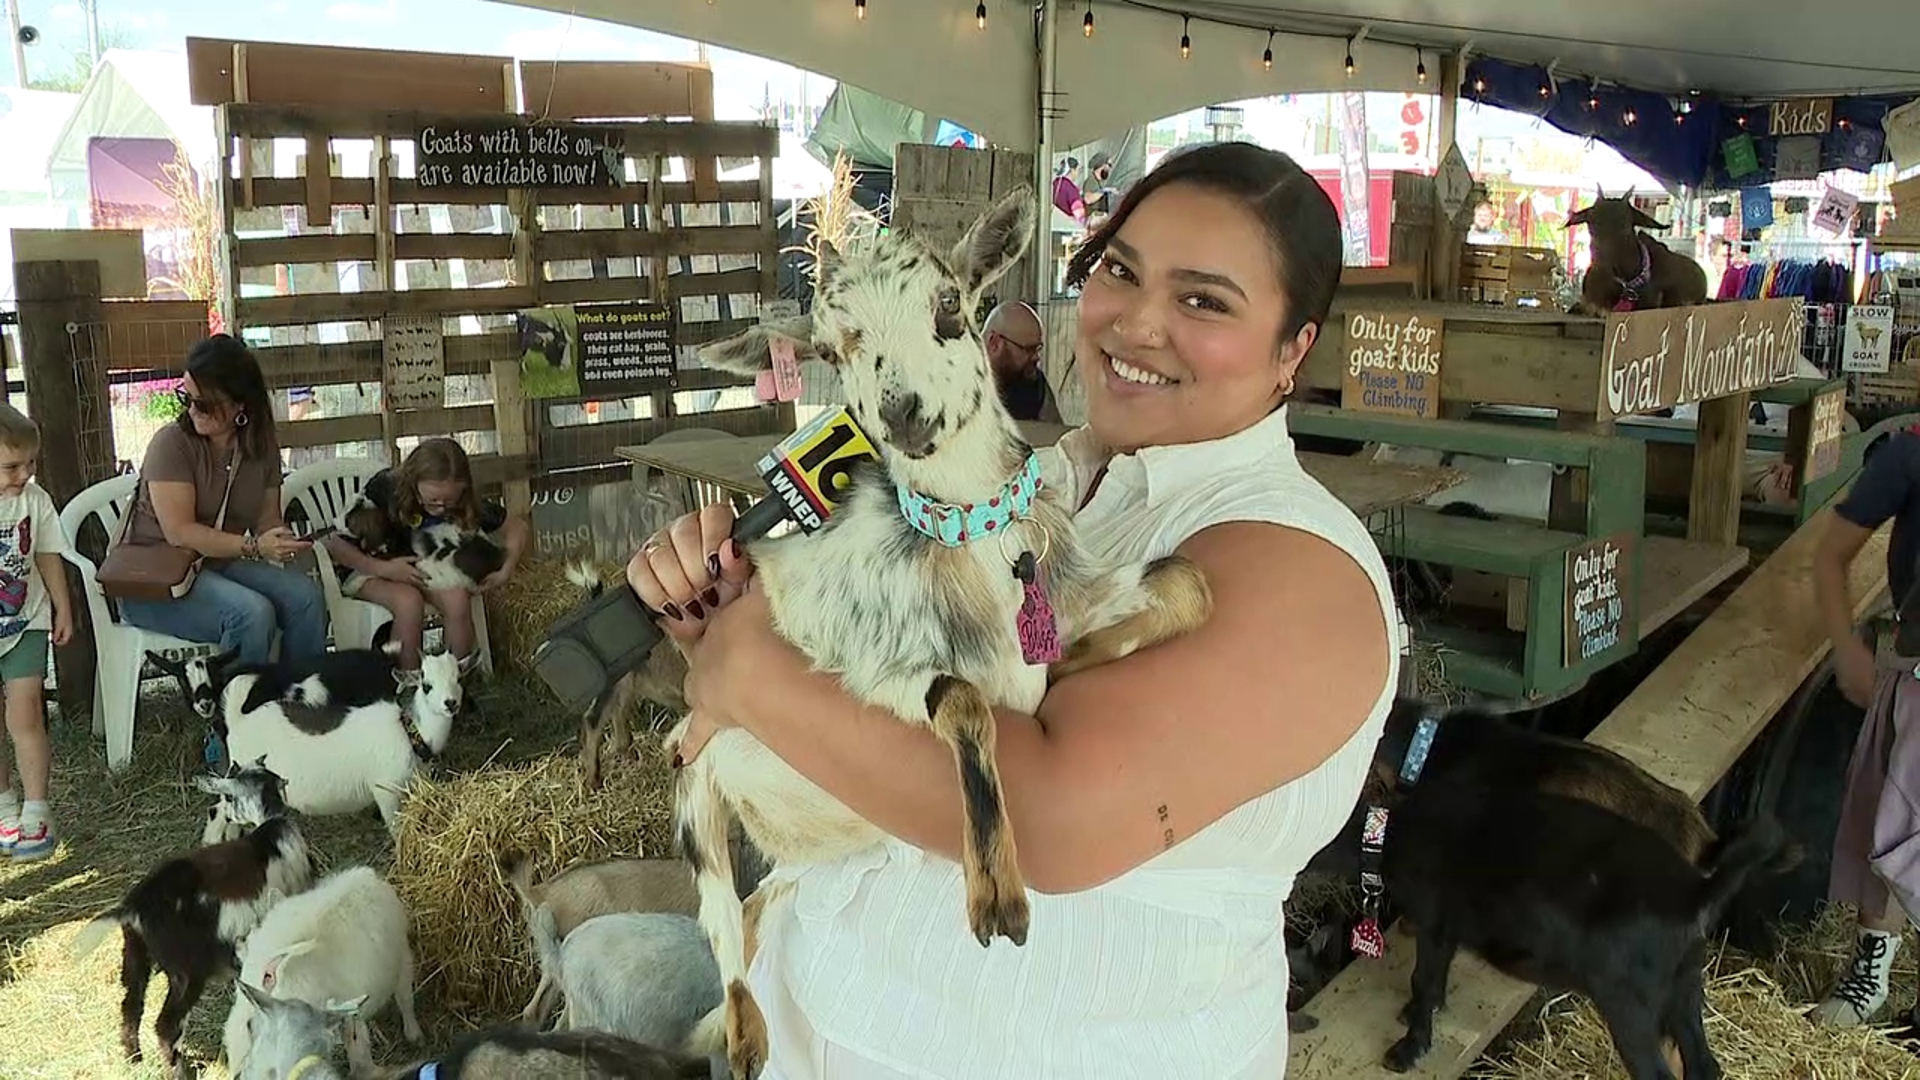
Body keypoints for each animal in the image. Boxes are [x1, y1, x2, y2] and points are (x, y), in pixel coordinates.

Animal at [71, 764, 311, 1068]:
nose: (218, 812)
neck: (270, 831)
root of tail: (135, 905)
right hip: (186, 969)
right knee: (167, 1024)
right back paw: (179, 1068)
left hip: (136, 954)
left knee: (131, 1006)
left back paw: (133, 1057)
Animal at [217, 645, 468, 834]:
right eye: (426, 685)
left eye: (459, 678)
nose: (451, 703)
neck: (409, 730)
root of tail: (238, 718)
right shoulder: (386, 792)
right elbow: (396, 830)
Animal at [648, 189, 1213, 1068]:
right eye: (831, 345)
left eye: (950, 304)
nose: (903, 414)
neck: (969, 546)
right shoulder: (869, 675)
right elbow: (966, 704)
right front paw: (997, 899)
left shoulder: (1069, 598)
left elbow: (1188, 583)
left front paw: (1080, 661)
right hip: (693, 790)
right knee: (722, 931)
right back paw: (744, 1039)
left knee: (758, 905)